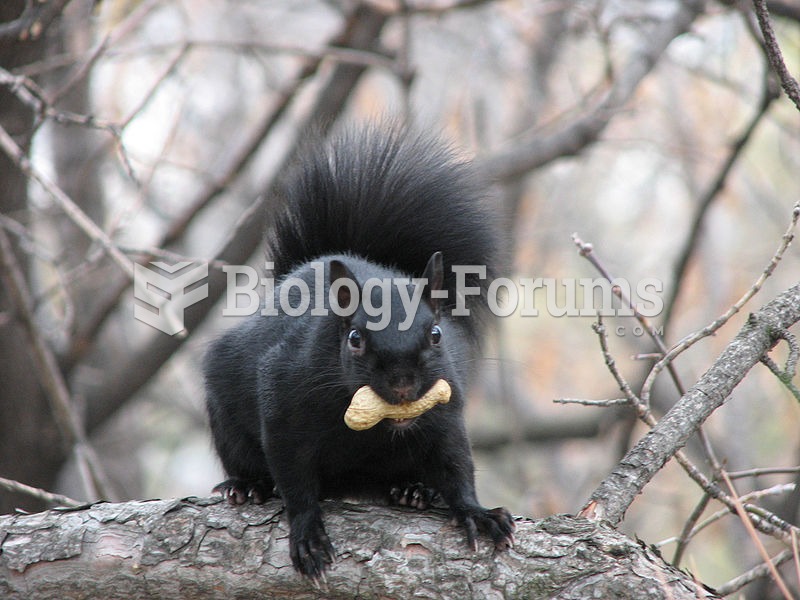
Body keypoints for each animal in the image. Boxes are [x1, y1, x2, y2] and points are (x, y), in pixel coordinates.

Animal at [203, 124, 516, 580]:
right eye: (354, 338)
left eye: (437, 334)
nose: (403, 384)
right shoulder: (282, 402)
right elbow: (294, 478)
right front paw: (307, 534)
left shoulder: (446, 412)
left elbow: (456, 465)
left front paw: (478, 513)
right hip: (225, 410)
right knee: (244, 458)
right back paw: (246, 486)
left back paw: (412, 491)